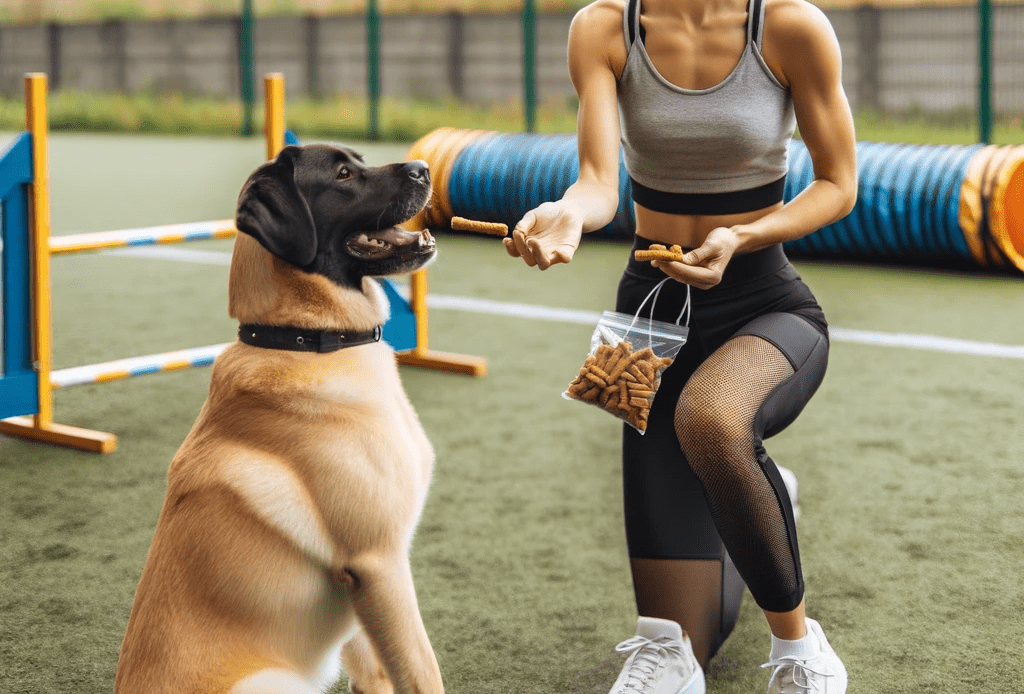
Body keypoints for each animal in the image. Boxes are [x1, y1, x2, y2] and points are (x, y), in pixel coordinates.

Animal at [115, 145, 444, 694]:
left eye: (359, 160)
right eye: (343, 174)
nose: (423, 168)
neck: (304, 340)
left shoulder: (363, 590)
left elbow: (377, 672)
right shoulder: (379, 563)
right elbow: (422, 672)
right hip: (272, 682)